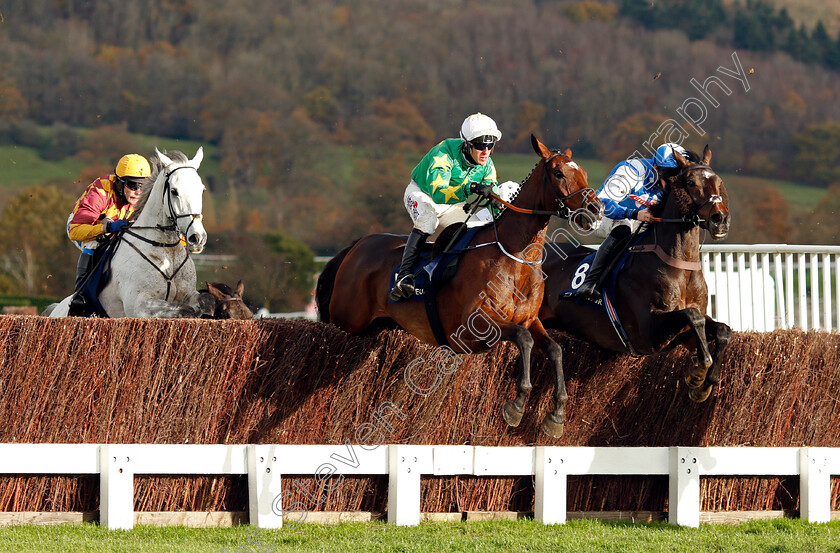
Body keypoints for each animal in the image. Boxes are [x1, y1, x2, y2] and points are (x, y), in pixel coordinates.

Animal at [316, 134, 604, 436]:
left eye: (584, 173)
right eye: (559, 173)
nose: (596, 211)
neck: (515, 257)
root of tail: (357, 245)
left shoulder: (530, 320)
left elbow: (555, 349)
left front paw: (556, 415)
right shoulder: (474, 329)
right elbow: (523, 339)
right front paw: (516, 405)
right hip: (345, 319)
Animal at [540, 147, 732, 402]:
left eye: (719, 182)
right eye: (691, 182)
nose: (720, 219)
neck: (680, 266)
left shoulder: (682, 334)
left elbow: (722, 330)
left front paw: (704, 383)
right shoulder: (648, 333)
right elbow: (693, 317)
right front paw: (699, 372)